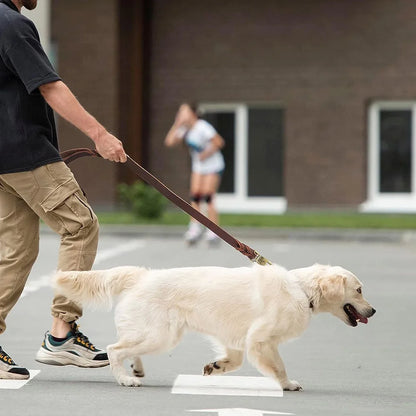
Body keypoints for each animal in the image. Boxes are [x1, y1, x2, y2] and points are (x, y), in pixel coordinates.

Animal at [53, 264, 376, 390]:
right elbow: (278, 367)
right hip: (160, 335)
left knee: (126, 346)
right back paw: (125, 378)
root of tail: (141, 275)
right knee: (114, 349)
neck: (302, 290)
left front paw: (216, 366)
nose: (373, 311)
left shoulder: (237, 337)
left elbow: (235, 360)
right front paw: (287, 384)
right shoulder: (261, 339)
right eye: (359, 290)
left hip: (157, 334)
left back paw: (137, 369)